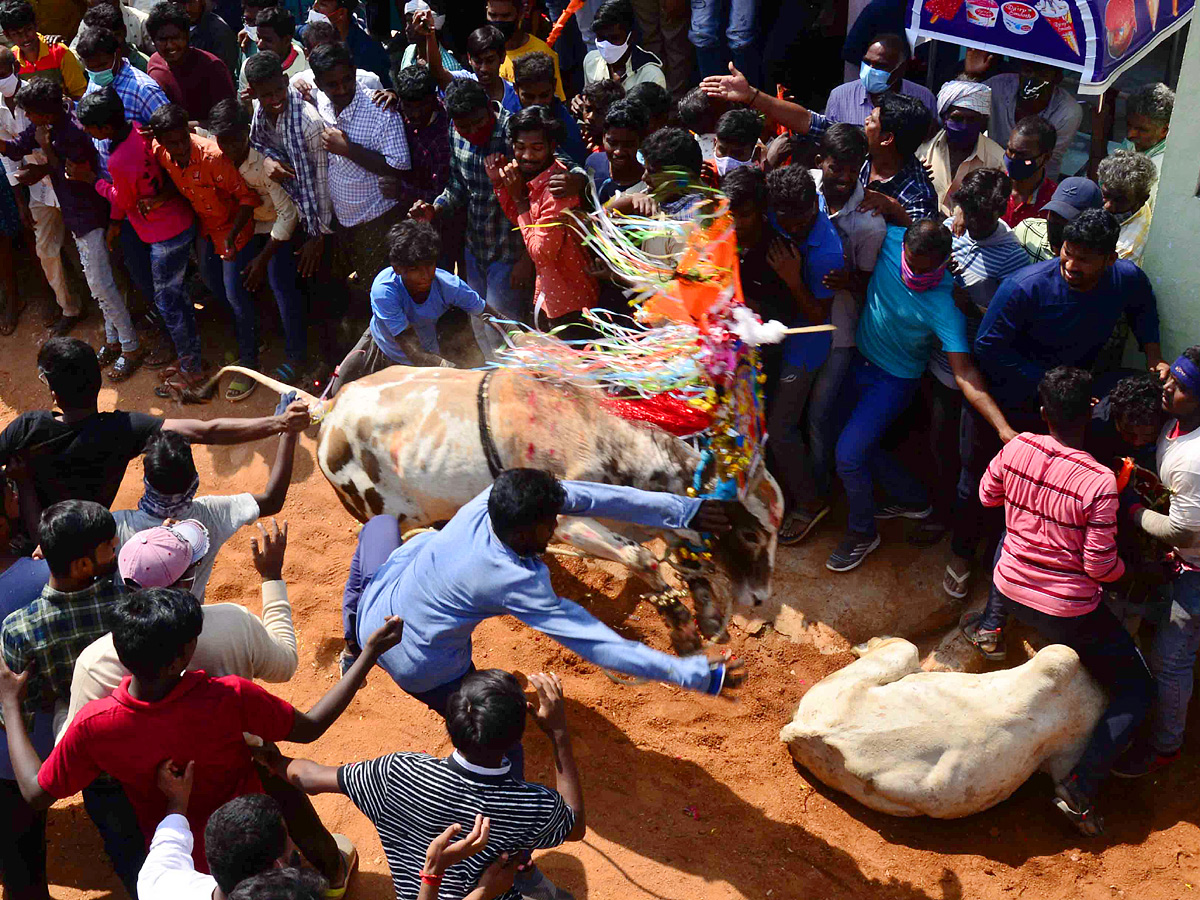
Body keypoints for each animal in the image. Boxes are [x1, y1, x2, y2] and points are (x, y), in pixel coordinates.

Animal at [193, 362, 782, 652]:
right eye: (753, 533)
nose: (760, 598)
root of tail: (331, 406)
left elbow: (681, 549)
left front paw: (707, 615)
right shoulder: (568, 519)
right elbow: (640, 557)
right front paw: (678, 618)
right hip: (379, 513)